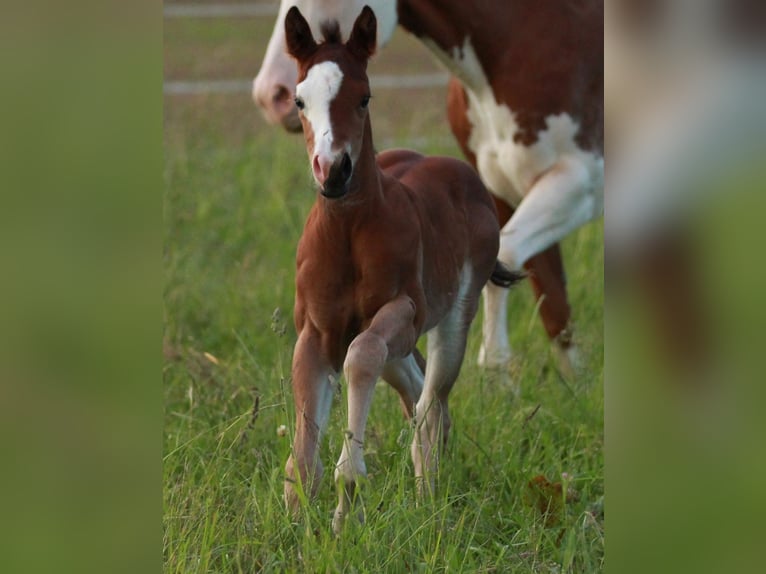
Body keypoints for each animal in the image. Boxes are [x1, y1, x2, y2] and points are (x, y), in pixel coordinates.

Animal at [253, 1, 604, 376]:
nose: (271, 94)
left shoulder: (579, 183)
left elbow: (507, 256)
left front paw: (495, 370)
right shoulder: (502, 191)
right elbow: (555, 307)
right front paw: (574, 382)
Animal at [283, 5, 522, 532]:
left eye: (364, 97)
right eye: (299, 100)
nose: (334, 171)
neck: (348, 233)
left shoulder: (405, 311)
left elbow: (361, 357)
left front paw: (346, 498)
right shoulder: (316, 330)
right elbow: (303, 452)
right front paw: (297, 523)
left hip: (452, 319)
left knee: (432, 404)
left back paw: (428, 496)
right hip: (400, 347)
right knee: (418, 395)